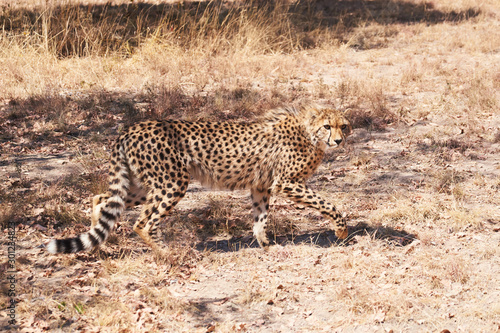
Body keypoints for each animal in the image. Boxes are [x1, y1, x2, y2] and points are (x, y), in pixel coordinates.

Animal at [47, 105, 352, 253]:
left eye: (344, 126)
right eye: (328, 126)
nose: (339, 140)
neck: (309, 133)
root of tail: (132, 128)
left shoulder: (261, 186)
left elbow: (260, 216)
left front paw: (263, 243)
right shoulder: (286, 183)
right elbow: (328, 204)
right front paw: (341, 230)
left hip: (143, 183)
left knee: (102, 199)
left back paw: (96, 248)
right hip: (171, 183)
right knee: (142, 223)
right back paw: (166, 253)